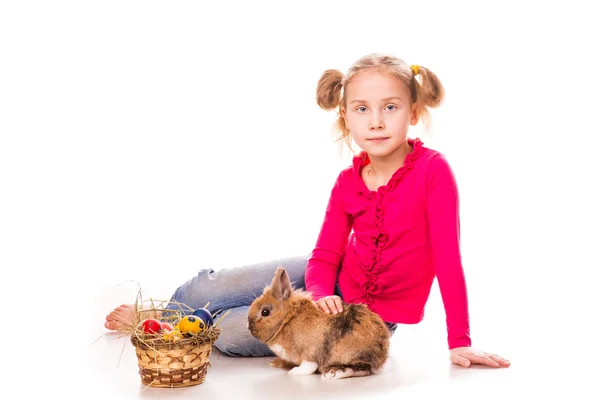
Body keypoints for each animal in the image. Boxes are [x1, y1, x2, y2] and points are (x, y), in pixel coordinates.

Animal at [247, 264, 392, 380]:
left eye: (265, 312)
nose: (249, 327)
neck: (287, 321)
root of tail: (383, 351)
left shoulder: (310, 351)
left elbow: (308, 365)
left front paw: (295, 372)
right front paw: (276, 363)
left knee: (363, 368)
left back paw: (333, 373)